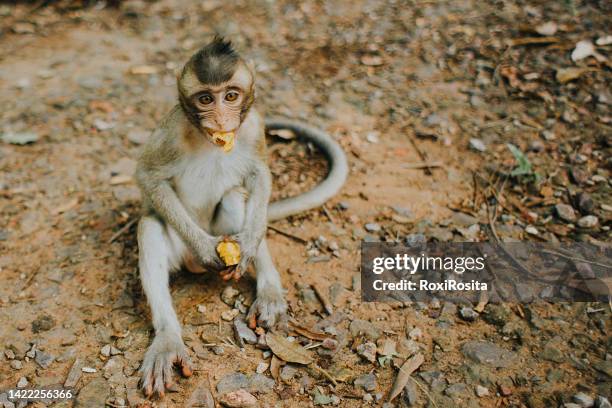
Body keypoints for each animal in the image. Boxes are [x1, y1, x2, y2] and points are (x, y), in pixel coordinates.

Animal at [136, 36, 350, 396]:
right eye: (206, 99)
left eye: (231, 96)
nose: (222, 119)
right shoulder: (172, 129)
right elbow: (149, 176)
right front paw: (204, 248)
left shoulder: (253, 126)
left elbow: (259, 172)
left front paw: (250, 246)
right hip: (181, 247)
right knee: (149, 225)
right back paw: (168, 338)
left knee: (237, 197)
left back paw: (268, 288)